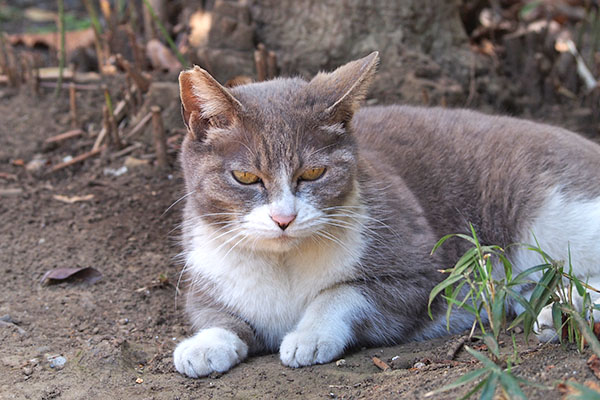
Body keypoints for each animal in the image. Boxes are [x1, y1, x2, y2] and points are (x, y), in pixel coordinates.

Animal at [171, 51, 600, 376]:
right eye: (246, 177)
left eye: (313, 173)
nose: (283, 218)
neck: (283, 265)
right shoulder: (204, 280)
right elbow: (215, 315)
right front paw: (204, 346)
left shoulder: (421, 276)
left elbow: (342, 292)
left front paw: (310, 335)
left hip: (555, 214)